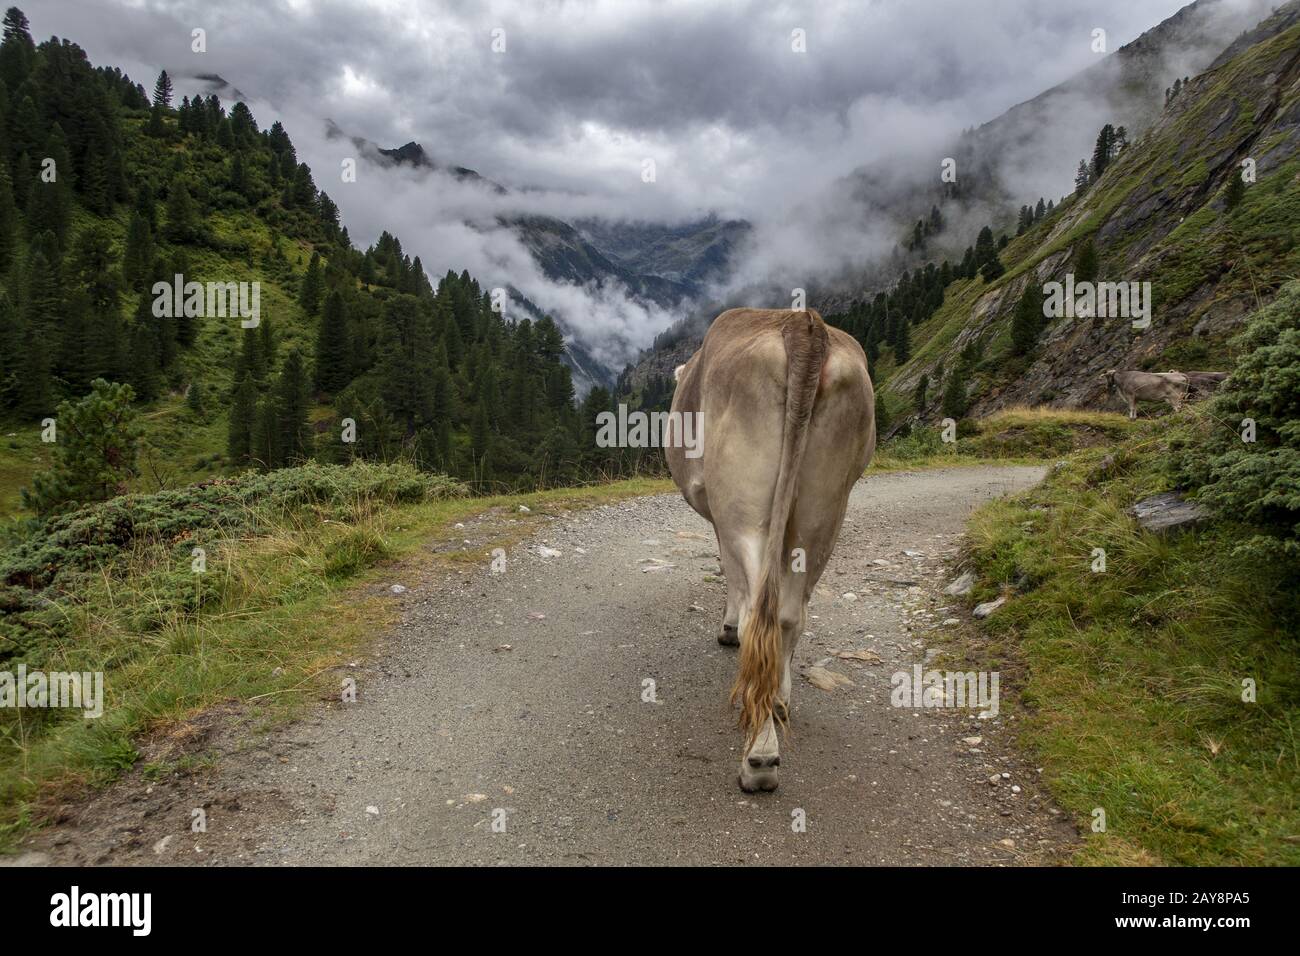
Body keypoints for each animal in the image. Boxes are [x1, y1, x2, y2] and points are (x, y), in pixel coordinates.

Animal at [670, 308, 873, 790]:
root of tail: (804, 325)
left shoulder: (721, 521)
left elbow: (731, 578)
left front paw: (724, 628)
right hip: (825, 509)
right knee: (788, 613)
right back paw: (777, 702)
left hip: (741, 507)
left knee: (755, 620)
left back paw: (759, 758)